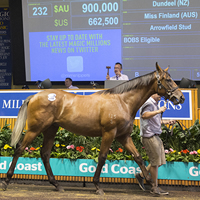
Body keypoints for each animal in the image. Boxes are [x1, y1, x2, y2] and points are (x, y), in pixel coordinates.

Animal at [1, 62, 184, 194]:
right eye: (168, 79)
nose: (180, 97)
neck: (122, 101)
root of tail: (35, 95)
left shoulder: (123, 136)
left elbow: (138, 157)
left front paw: (152, 185)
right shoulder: (109, 133)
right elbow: (102, 157)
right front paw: (97, 186)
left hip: (50, 129)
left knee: (45, 154)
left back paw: (57, 185)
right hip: (35, 129)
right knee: (19, 148)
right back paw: (6, 181)